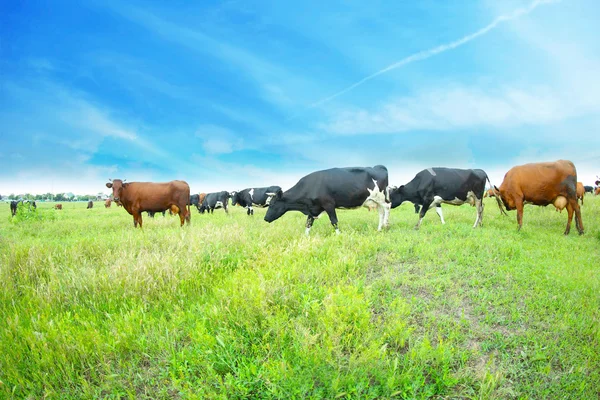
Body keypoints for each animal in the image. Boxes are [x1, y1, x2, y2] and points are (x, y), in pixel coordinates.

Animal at [264, 165, 392, 234]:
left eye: (272, 204)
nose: (265, 218)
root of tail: (378, 167)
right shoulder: (313, 208)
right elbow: (308, 224)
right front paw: (306, 237)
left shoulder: (328, 204)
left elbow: (334, 221)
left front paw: (339, 235)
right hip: (374, 200)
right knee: (381, 212)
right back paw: (379, 228)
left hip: (380, 197)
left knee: (387, 207)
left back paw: (386, 225)